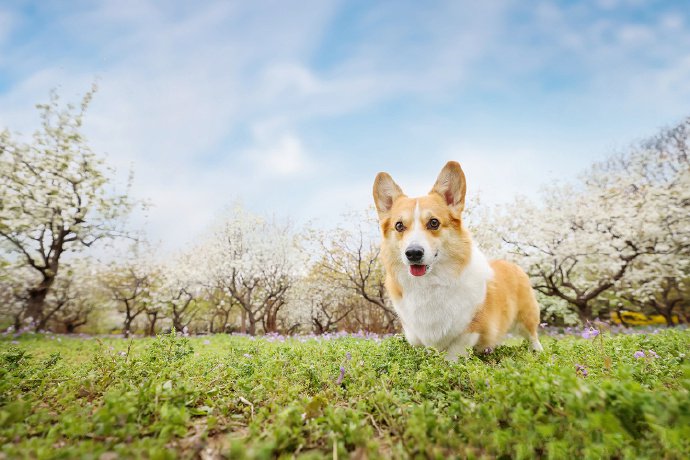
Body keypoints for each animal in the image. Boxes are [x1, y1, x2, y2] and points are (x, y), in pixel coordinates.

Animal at [370, 161, 544, 360]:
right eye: (399, 226)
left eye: (434, 223)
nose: (413, 253)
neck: (429, 284)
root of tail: (511, 263)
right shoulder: (415, 333)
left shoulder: (471, 328)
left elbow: (455, 352)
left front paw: (450, 364)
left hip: (527, 316)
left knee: (532, 335)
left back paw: (537, 351)